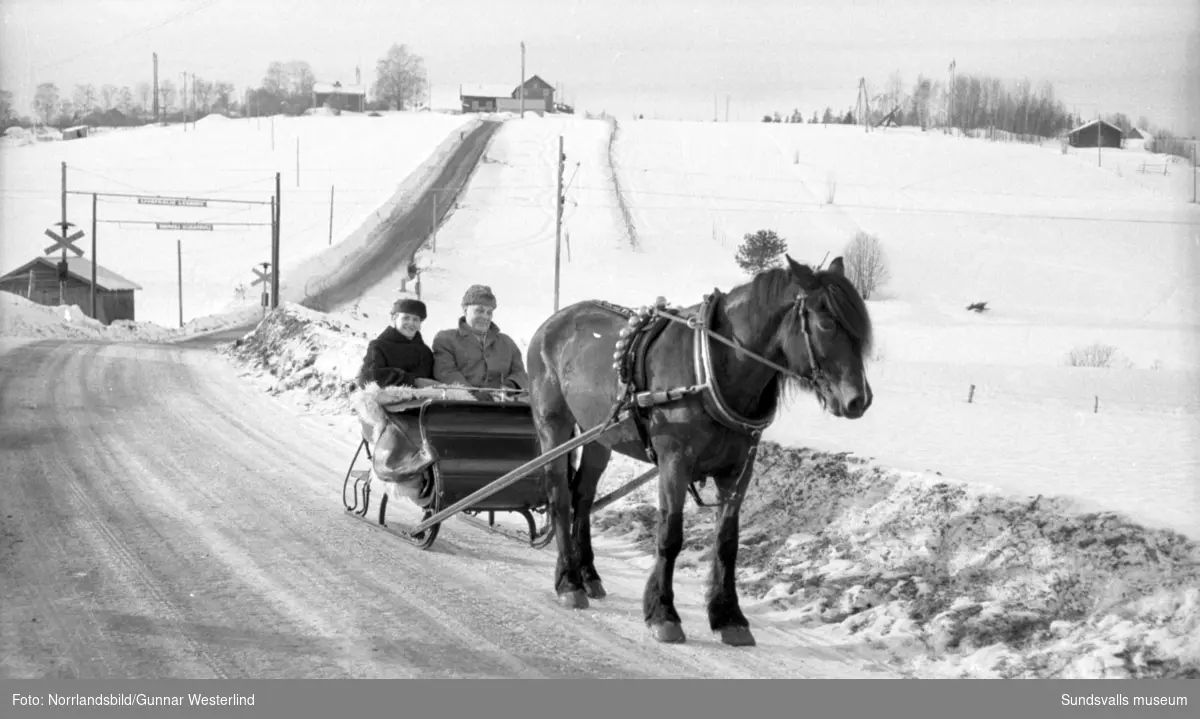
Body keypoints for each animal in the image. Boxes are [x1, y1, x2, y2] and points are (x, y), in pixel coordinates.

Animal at [525, 253, 873, 648]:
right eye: (826, 323)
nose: (858, 400)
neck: (713, 369)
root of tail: (553, 322)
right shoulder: (674, 462)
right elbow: (670, 536)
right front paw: (663, 613)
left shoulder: (739, 469)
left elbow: (727, 541)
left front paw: (728, 617)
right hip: (553, 425)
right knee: (560, 496)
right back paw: (569, 582)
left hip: (599, 436)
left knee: (583, 497)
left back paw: (588, 575)